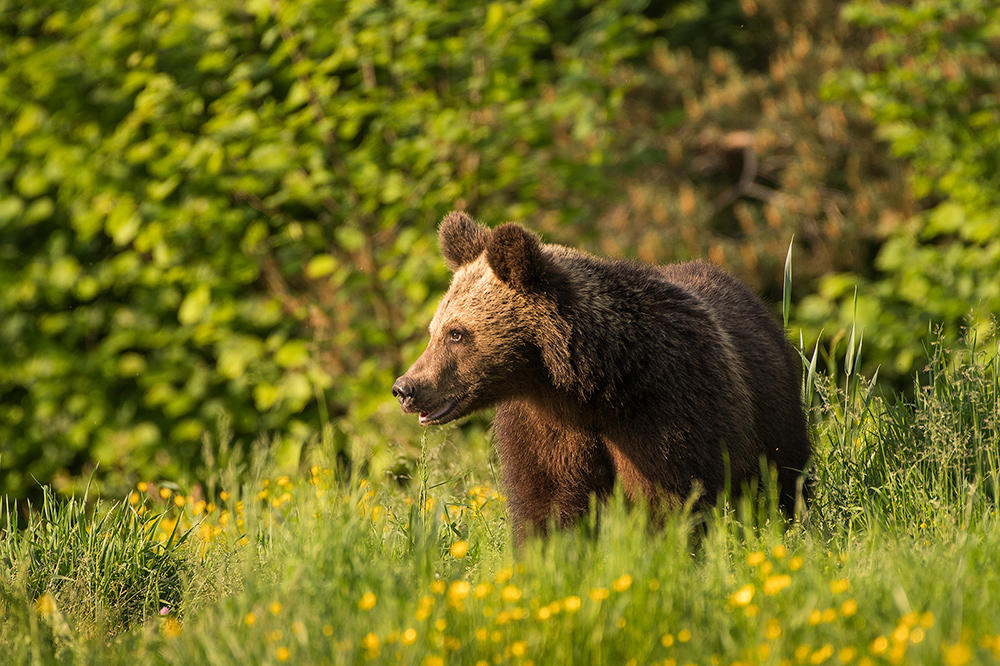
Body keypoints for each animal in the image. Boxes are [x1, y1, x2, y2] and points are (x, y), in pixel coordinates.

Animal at [392, 210, 812, 544]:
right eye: (434, 330)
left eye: (456, 333)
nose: (405, 388)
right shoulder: (544, 429)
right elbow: (547, 502)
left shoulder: (666, 407)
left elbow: (672, 497)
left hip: (772, 413)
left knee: (783, 483)